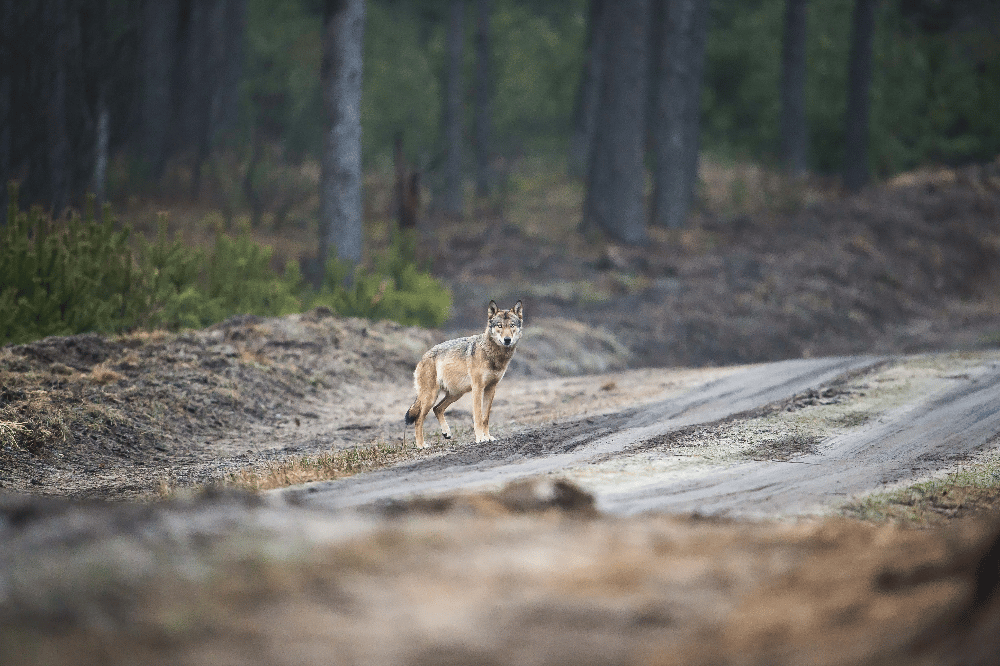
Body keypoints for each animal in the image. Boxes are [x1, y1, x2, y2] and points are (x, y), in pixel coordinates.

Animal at [405, 300, 523, 448]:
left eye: (512, 325)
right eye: (499, 326)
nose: (507, 340)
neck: (493, 354)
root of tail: (422, 357)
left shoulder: (491, 388)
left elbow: (485, 418)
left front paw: (488, 437)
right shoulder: (478, 388)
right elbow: (478, 417)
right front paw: (480, 438)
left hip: (455, 394)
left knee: (437, 409)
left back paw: (446, 433)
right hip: (430, 396)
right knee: (419, 419)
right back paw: (421, 445)